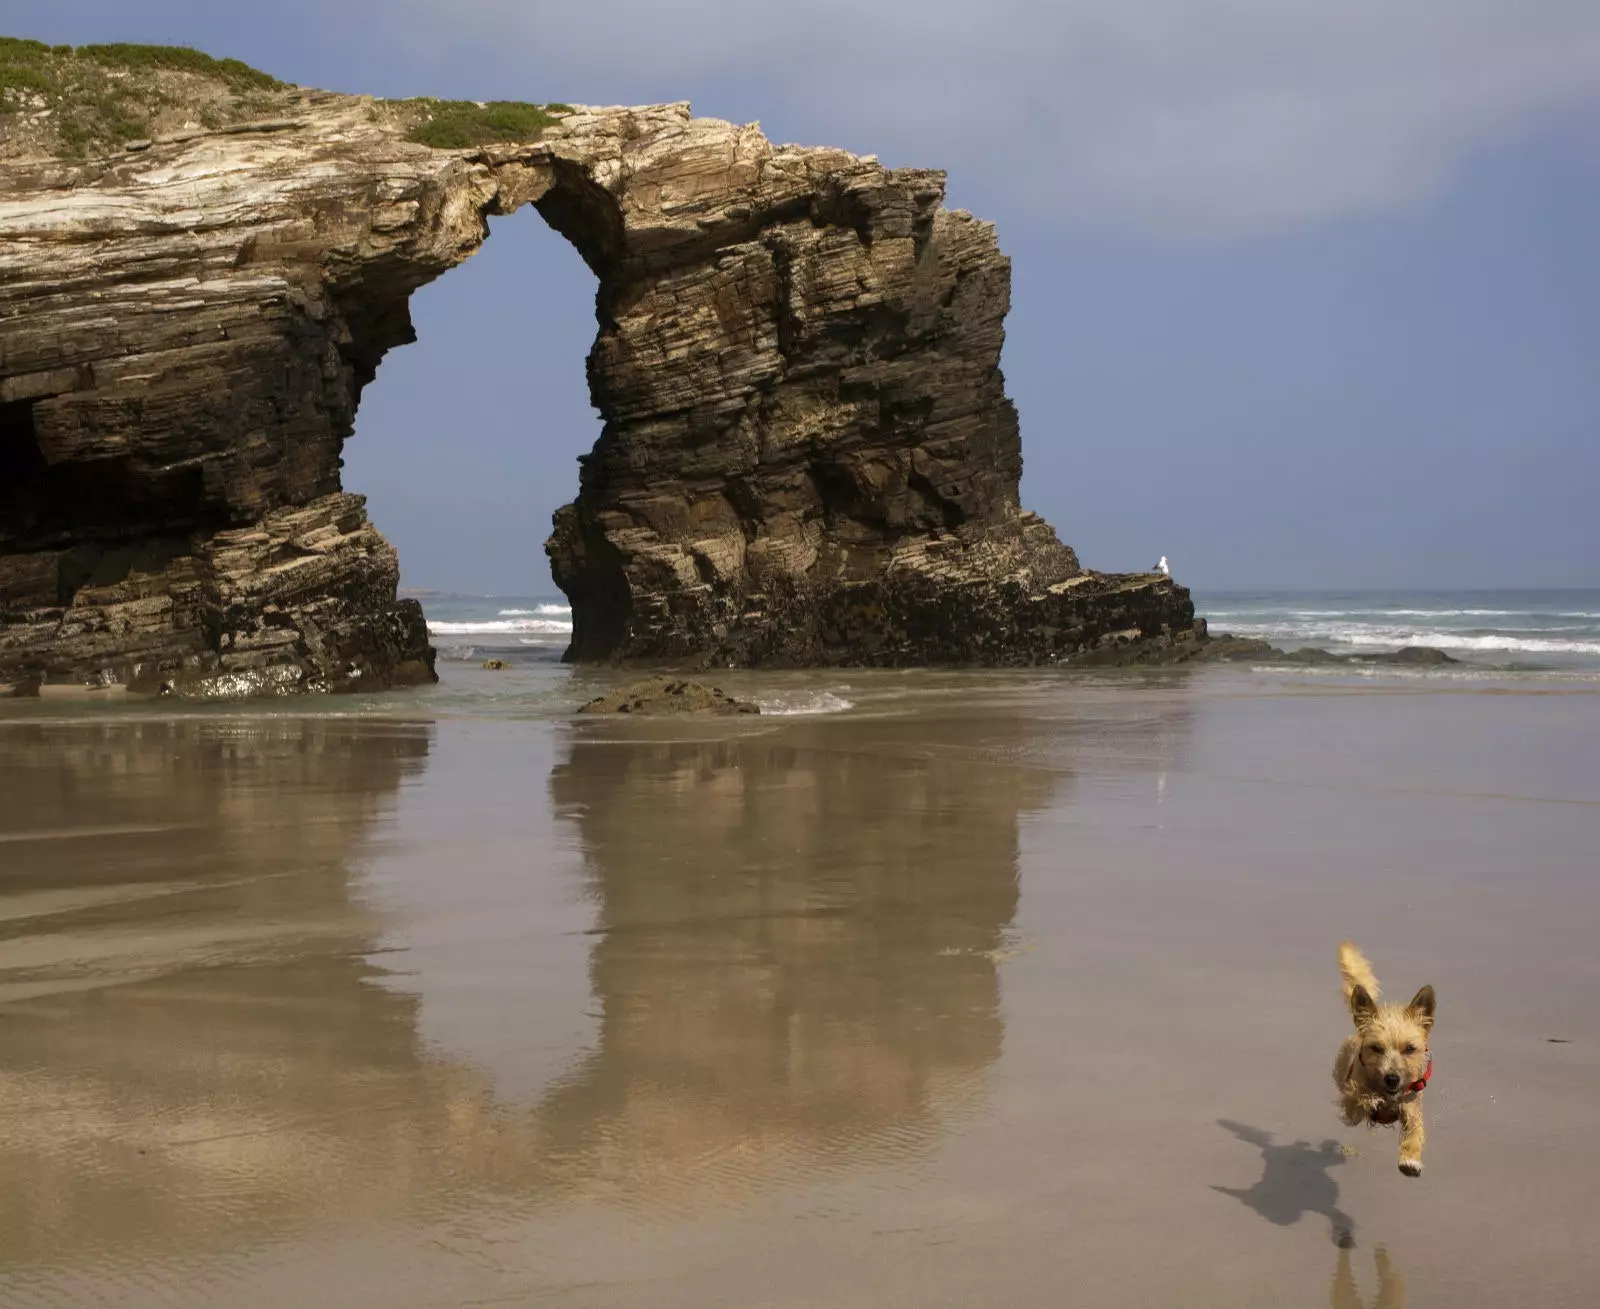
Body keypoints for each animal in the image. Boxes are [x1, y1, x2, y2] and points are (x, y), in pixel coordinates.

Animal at [1337, 940, 1440, 1171]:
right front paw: (1370, 1098)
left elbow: (1415, 1130)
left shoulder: (1411, 1107)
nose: (1392, 1078)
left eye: (1409, 1049)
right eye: (1376, 1048)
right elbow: (1359, 1096)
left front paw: (1410, 1157)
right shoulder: (1350, 1105)